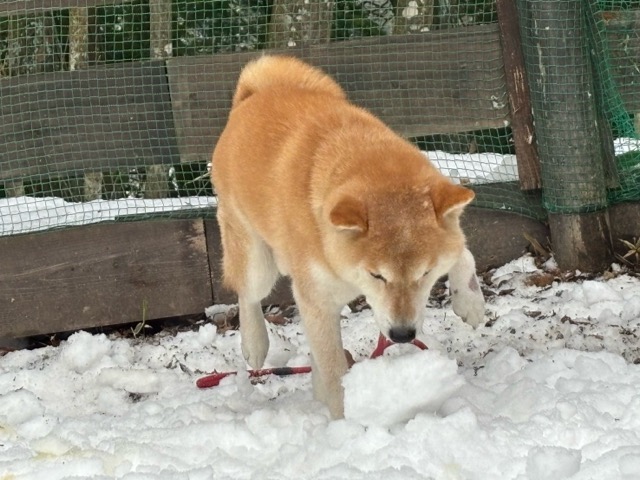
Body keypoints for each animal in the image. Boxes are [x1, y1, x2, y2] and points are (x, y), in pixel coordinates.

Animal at [211, 55, 485, 419]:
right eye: (377, 275)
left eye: (425, 274)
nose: (402, 335)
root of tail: (252, 96)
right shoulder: (317, 301)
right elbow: (333, 373)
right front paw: (344, 422)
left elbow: (463, 251)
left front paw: (470, 301)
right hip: (258, 263)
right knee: (248, 295)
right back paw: (254, 343)